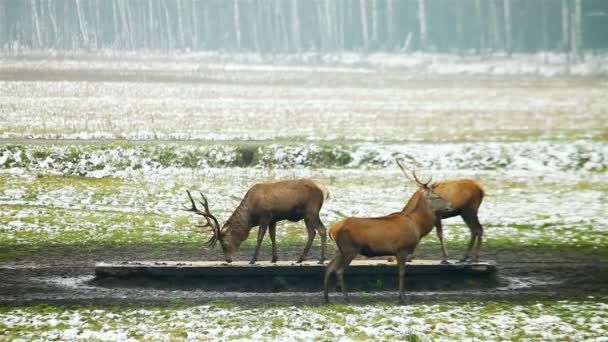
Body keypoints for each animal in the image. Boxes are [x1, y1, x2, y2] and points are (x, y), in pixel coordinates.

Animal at [184, 179, 330, 264]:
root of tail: (325, 190)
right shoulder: (273, 219)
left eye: (224, 244)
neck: (251, 216)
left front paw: (253, 260)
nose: (228, 259)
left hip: (312, 211)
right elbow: (272, 236)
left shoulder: (265, 216)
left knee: (322, 230)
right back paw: (300, 259)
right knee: (312, 233)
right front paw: (274, 259)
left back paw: (321, 260)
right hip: (306, 216)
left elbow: (260, 237)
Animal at [324, 170, 452, 304]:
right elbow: (401, 273)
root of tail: (332, 230)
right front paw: (402, 298)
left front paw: (401, 296)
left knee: (329, 267)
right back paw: (346, 298)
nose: (450, 205)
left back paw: (327, 298)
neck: (417, 226)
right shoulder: (402, 249)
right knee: (338, 270)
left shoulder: (397, 252)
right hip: (350, 249)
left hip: (340, 250)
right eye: (437, 196)